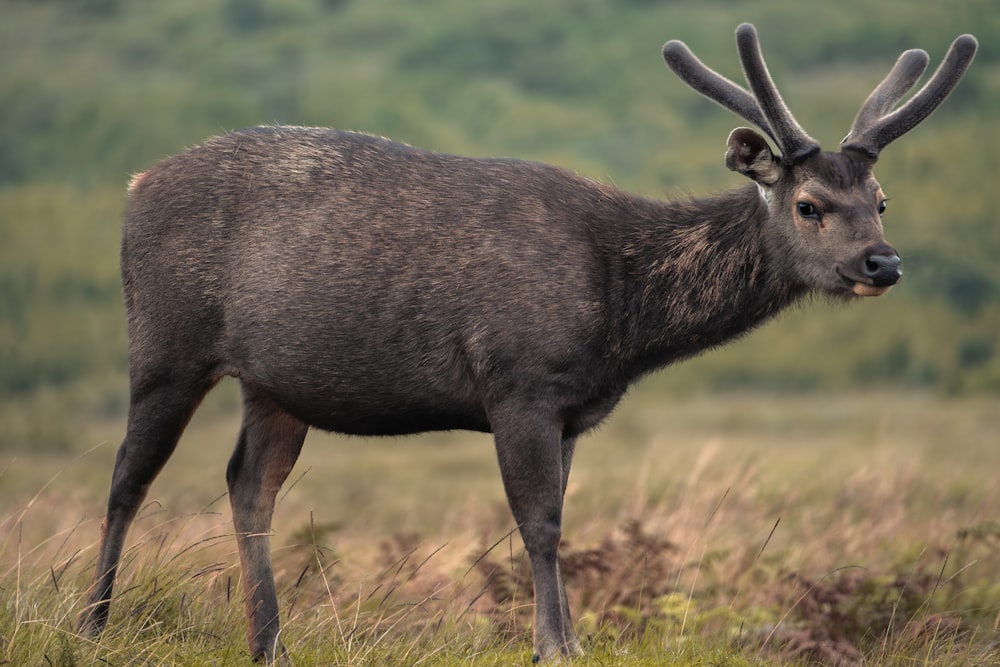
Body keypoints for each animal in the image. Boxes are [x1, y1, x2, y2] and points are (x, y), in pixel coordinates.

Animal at [80, 23, 976, 664]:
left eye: (882, 199)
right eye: (809, 204)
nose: (883, 262)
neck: (623, 312)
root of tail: (133, 184)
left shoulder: (573, 409)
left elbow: (561, 519)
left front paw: (566, 638)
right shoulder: (519, 382)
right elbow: (539, 523)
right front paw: (554, 646)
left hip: (275, 383)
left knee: (248, 484)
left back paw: (270, 643)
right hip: (165, 340)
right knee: (128, 475)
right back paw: (93, 625)